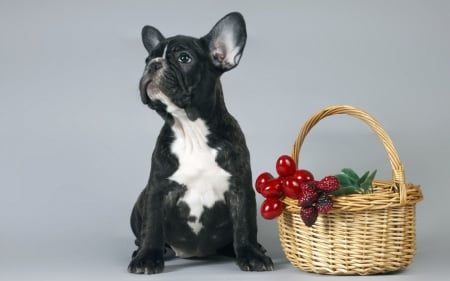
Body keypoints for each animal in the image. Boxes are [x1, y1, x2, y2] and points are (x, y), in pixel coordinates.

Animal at [128, 12, 272, 272]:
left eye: (184, 58)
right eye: (147, 60)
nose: (153, 65)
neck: (191, 129)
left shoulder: (240, 189)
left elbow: (245, 226)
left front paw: (251, 254)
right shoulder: (156, 190)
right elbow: (152, 226)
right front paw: (147, 257)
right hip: (139, 203)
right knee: (142, 234)